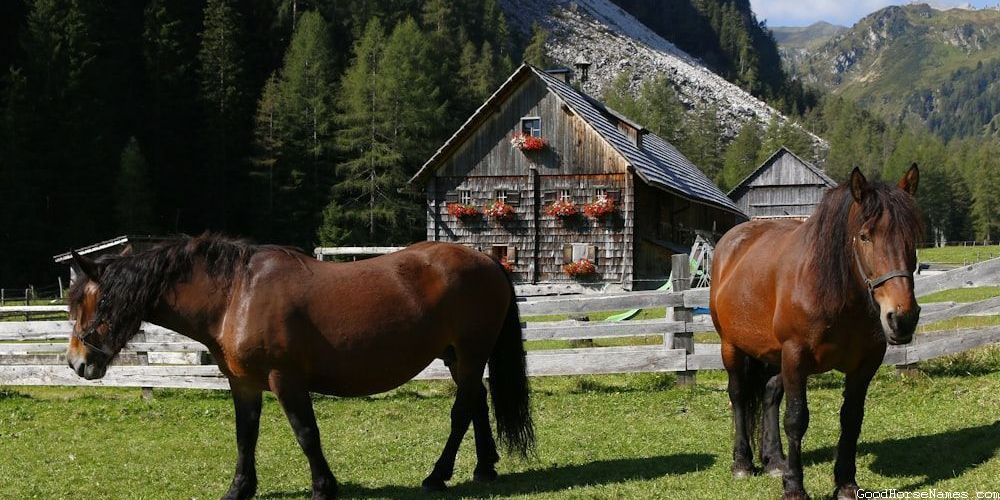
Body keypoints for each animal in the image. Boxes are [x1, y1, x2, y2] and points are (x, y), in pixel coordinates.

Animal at [65, 236, 534, 499]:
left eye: (93, 302)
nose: (76, 362)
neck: (236, 295)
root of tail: (490, 262)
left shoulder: (285, 380)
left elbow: (307, 433)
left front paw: (324, 487)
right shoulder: (244, 384)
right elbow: (245, 437)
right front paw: (239, 489)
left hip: (469, 354)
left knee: (461, 411)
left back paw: (438, 475)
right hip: (458, 357)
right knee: (477, 403)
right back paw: (484, 467)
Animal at [710, 165, 922, 500]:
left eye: (912, 237)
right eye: (865, 236)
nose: (902, 318)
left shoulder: (864, 365)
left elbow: (851, 419)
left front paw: (846, 483)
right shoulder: (796, 356)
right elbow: (796, 420)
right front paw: (794, 486)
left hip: (773, 355)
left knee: (769, 394)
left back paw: (774, 460)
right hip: (731, 346)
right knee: (739, 395)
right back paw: (742, 462)